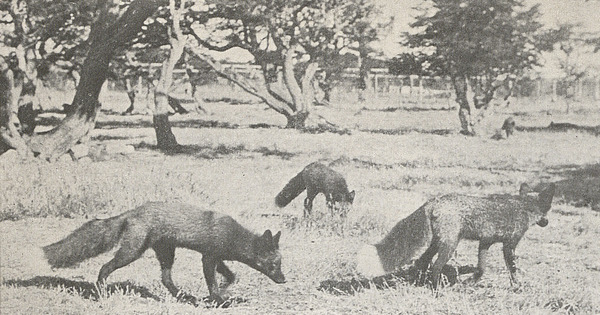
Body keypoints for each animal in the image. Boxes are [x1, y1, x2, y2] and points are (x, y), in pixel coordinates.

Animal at [42, 202, 286, 304]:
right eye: (274, 265)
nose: (284, 280)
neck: (234, 235)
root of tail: (134, 211)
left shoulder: (218, 258)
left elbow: (231, 276)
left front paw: (223, 291)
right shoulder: (208, 258)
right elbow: (213, 283)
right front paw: (218, 299)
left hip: (167, 254)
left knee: (165, 279)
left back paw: (184, 297)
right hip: (131, 252)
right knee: (105, 267)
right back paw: (100, 291)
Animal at [356, 183, 556, 288]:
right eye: (547, 212)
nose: (547, 222)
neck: (524, 206)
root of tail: (433, 201)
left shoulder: (485, 242)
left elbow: (481, 269)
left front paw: (469, 283)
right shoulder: (509, 245)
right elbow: (513, 270)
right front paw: (518, 287)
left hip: (437, 244)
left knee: (422, 262)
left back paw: (420, 283)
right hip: (450, 246)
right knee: (435, 267)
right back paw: (436, 290)